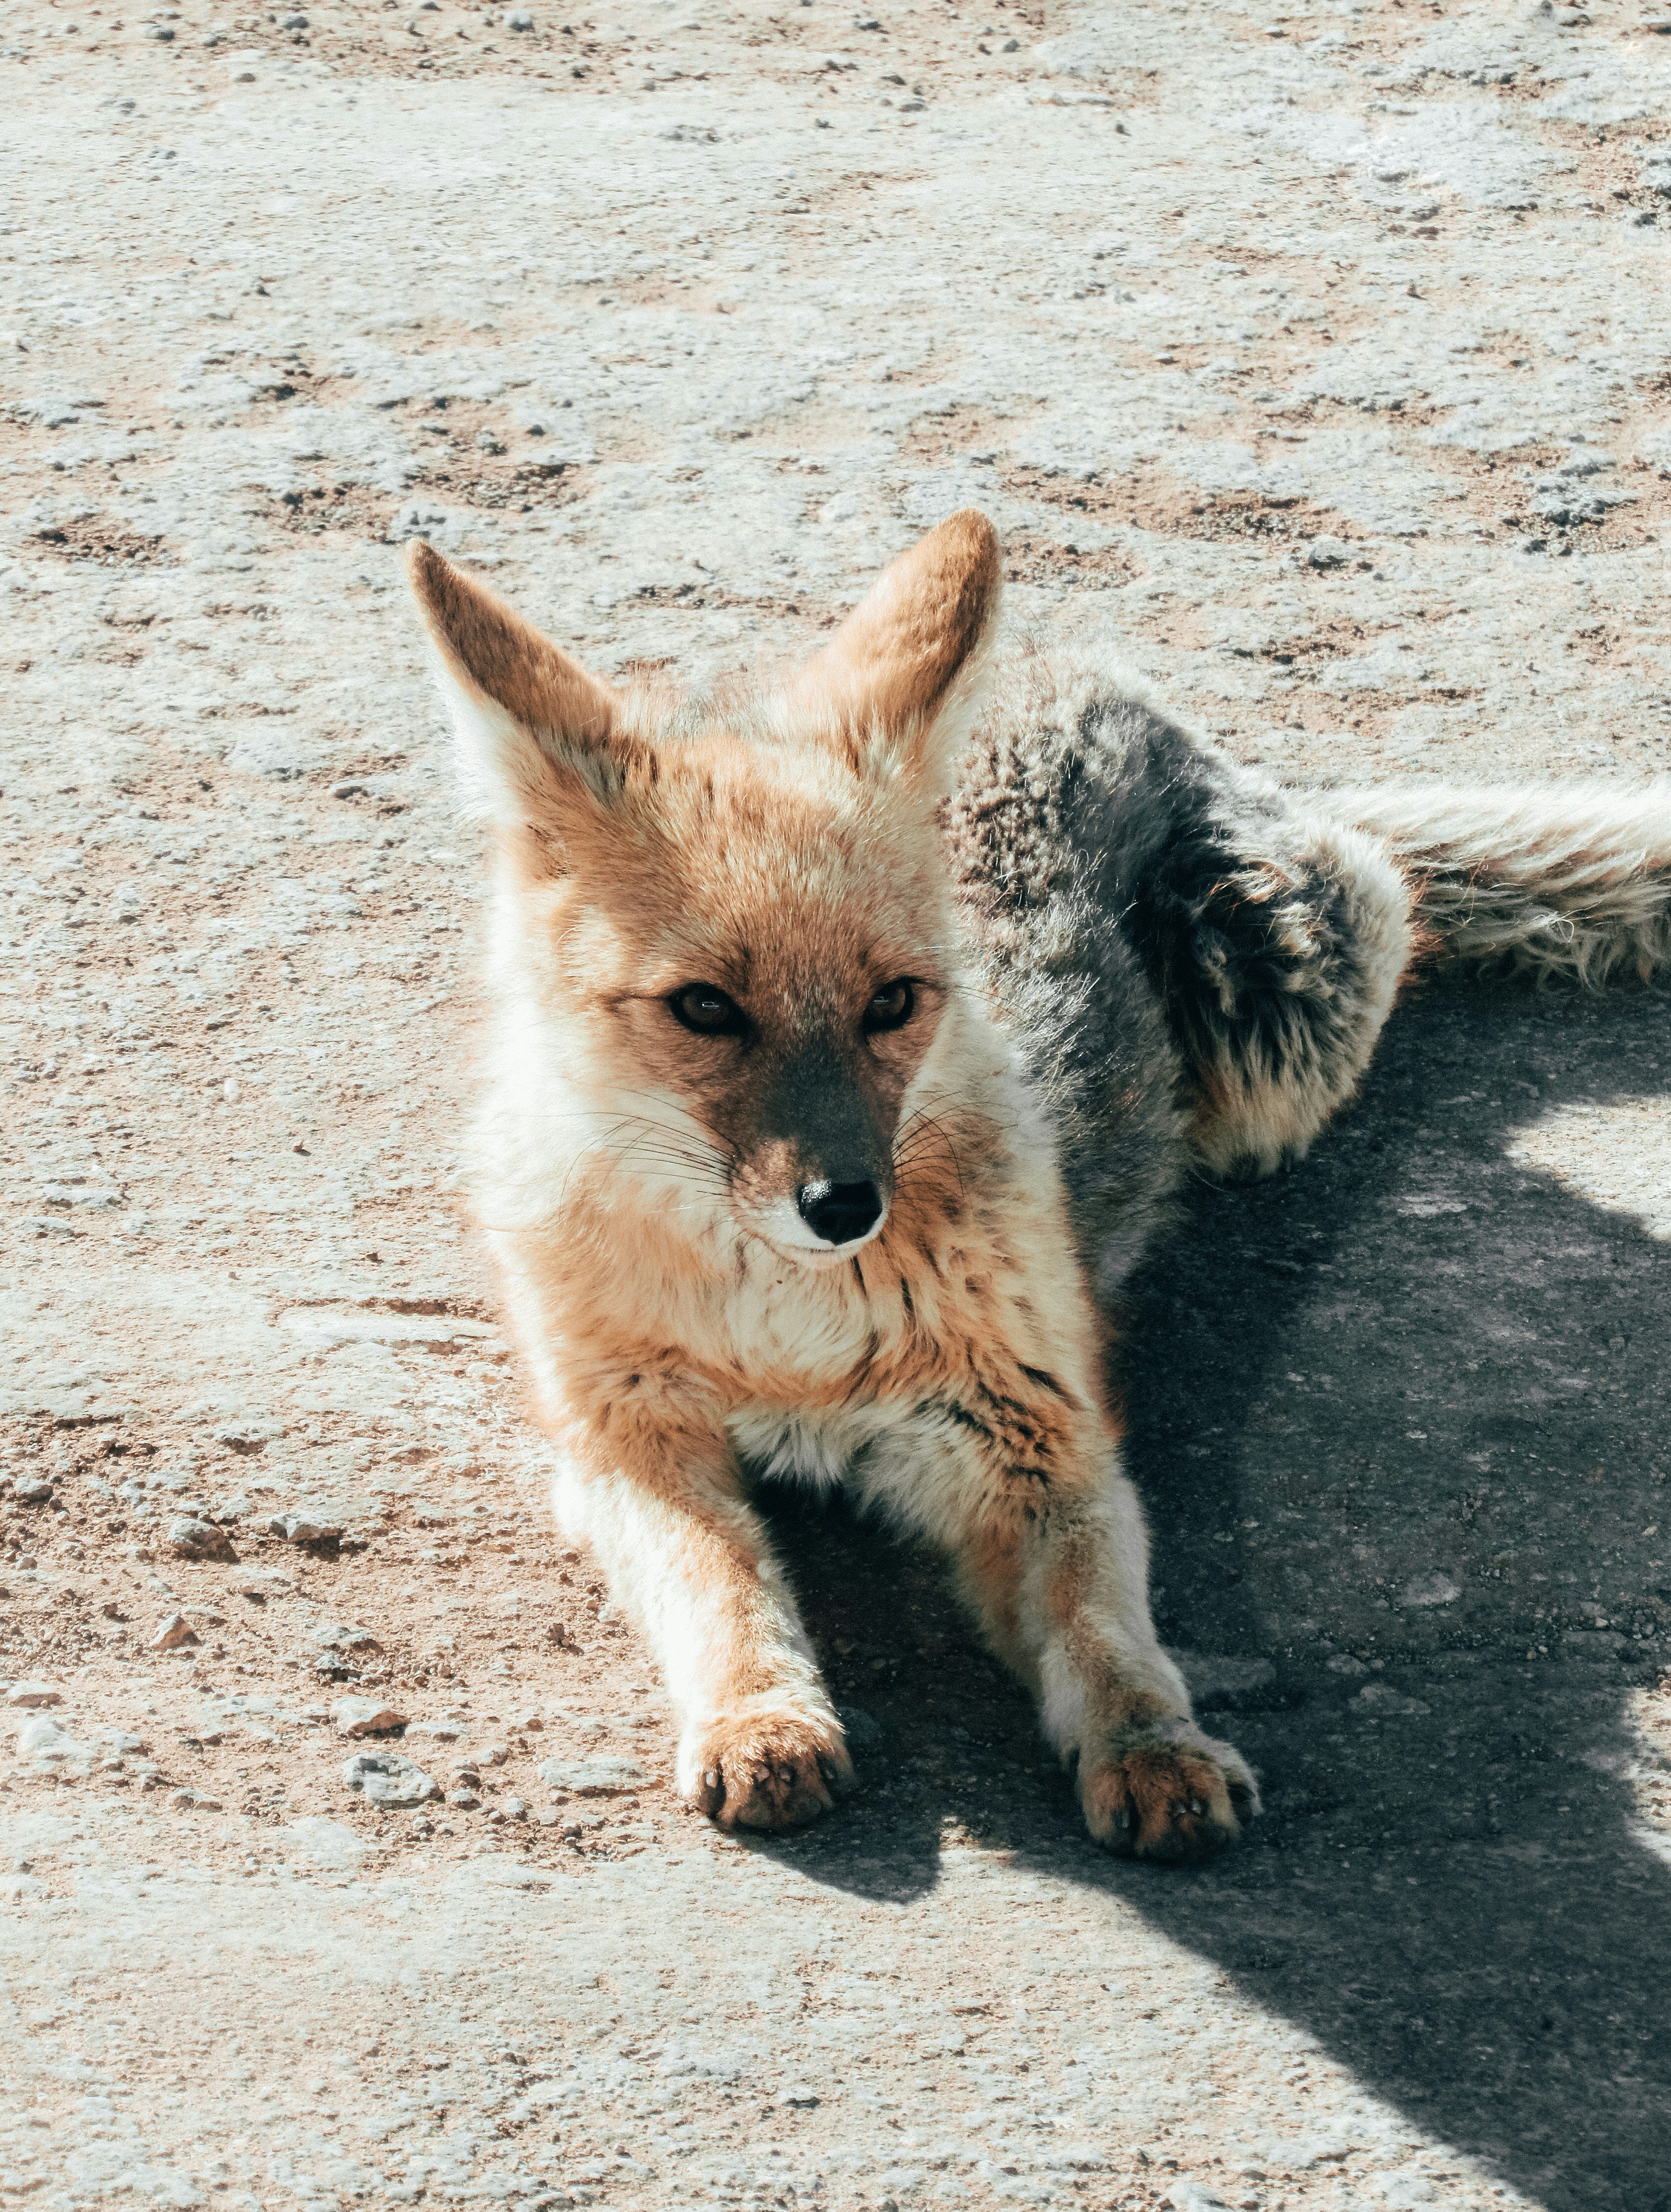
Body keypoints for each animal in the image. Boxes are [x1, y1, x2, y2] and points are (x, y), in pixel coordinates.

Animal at [408, 510, 1671, 1864]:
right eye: (704, 1008)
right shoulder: (622, 1436)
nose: (844, 1205)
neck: (786, 1336)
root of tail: (1069, 670)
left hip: (1274, 1030)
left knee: (1387, 891)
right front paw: (760, 1716)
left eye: (892, 1003)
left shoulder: (1042, 1442)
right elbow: (720, 1583)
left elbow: (1102, 1628)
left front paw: (1151, 1746)